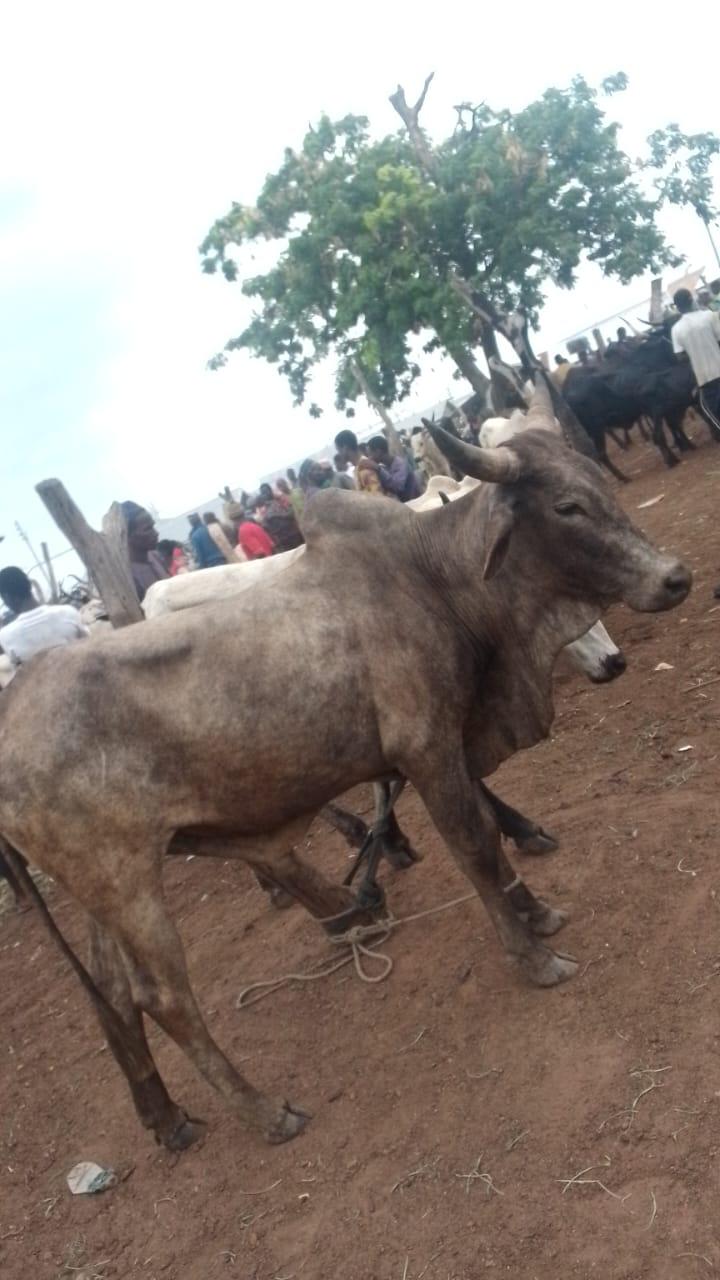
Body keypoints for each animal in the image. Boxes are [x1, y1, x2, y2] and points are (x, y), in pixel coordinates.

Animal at [0, 384, 690, 1151]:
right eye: (566, 507)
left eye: (598, 480)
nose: (674, 577)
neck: (435, 578)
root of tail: (11, 711)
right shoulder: (427, 748)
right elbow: (475, 846)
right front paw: (534, 958)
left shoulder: (446, 742)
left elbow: (486, 828)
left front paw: (537, 913)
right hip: (130, 886)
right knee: (165, 998)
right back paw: (266, 1111)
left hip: (97, 894)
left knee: (115, 998)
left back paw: (167, 1117)